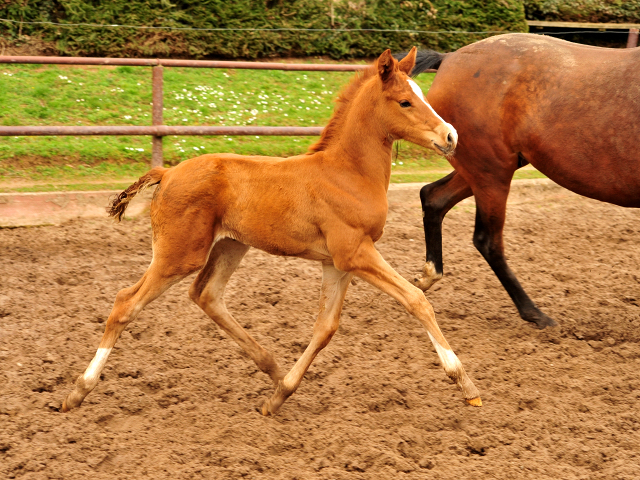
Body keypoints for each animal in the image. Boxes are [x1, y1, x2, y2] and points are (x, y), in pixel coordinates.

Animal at [63, 49, 480, 416]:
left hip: (230, 246)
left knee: (206, 295)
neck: (347, 173)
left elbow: (325, 328)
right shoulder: (355, 253)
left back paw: (274, 369)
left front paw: (281, 395)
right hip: (178, 254)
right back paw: (78, 391)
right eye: (405, 101)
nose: (450, 137)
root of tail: (166, 173)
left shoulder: (338, 263)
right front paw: (466, 384)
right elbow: (416, 299)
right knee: (125, 303)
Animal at [400, 34, 640, 330]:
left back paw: (427, 277)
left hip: (485, 169)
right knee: (487, 240)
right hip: (492, 172)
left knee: (433, 197)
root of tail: (450, 58)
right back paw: (535, 314)